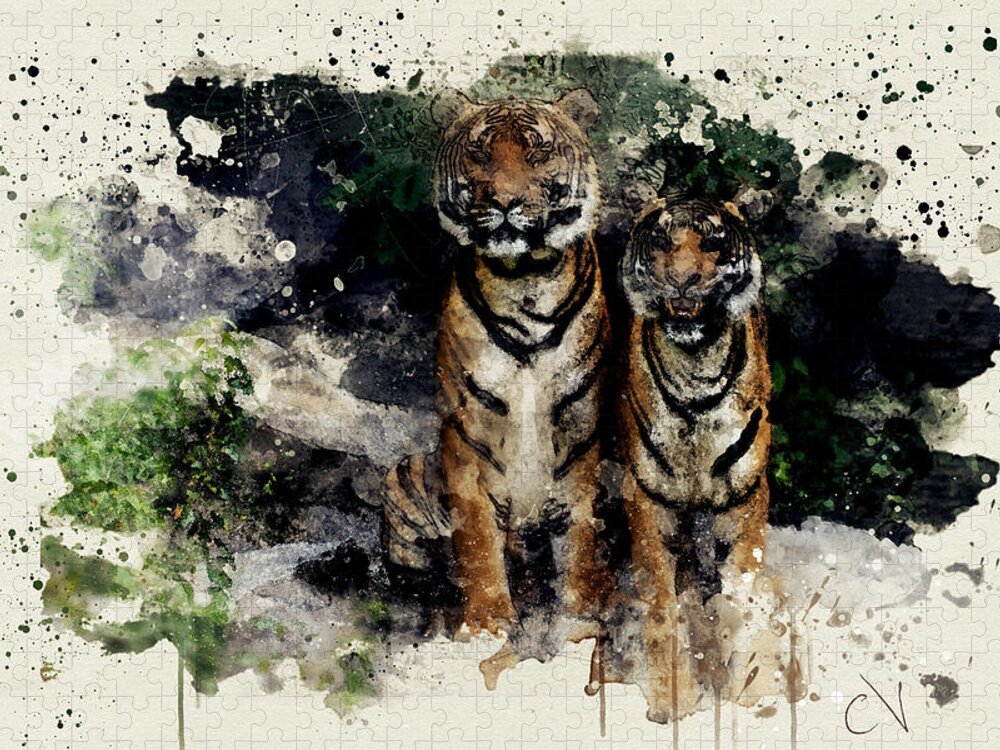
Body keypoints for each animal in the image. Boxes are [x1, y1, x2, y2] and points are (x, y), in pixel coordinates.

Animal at [383, 88, 614, 648]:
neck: (523, 279)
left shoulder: (581, 434)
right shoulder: (468, 436)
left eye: (537, 153)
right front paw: (487, 623)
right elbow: (476, 539)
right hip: (402, 476)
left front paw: (577, 621)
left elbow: (578, 535)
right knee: (424, 581)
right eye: (480, 153)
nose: (505, 202)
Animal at [615, 194, 771, 721]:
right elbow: (663, 608)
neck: (695, 370)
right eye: (664, 242)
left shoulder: (743, 505)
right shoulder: (650, 502)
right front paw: (674, 701)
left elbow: (743, 598)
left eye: (712, 243)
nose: (683, 279)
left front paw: (748, 694)